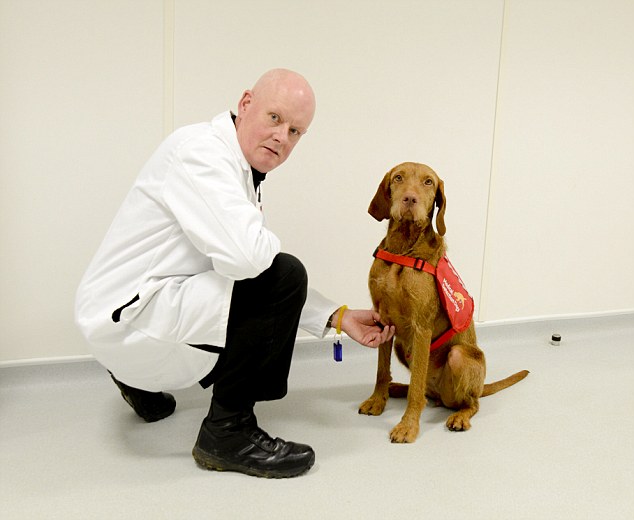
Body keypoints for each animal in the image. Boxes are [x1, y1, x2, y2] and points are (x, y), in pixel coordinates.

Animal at [358, 161, 524, 442]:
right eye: (398, 178)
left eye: (428, 182)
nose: (409, 199)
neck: (403, 248)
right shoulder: (382, 321)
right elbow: (381, 370)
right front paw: (377, 400)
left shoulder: (421, 327)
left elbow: (416, 390)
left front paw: (408, 426)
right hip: (402, 346)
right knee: (423, 388)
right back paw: (396, 387)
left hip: (459, 357)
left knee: (467, 402)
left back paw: (459, 416)